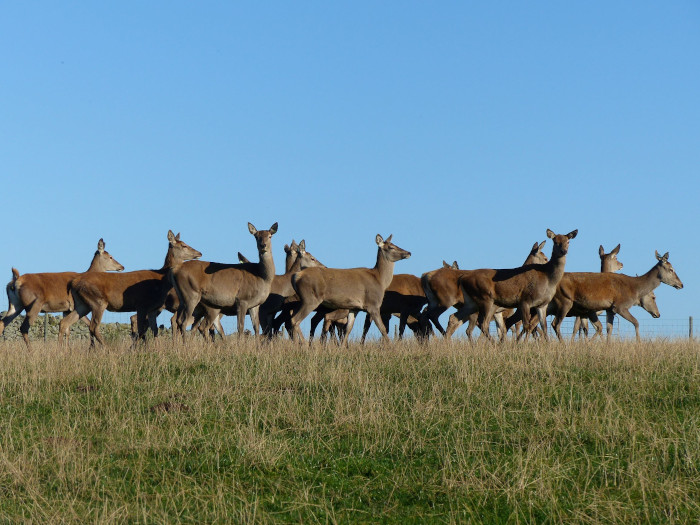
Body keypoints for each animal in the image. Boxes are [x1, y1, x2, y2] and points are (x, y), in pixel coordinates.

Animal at [58, 229, 201, 344]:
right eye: (184, 245)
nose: (199, 253)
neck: (161, 281)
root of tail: (73, 283)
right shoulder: (142, 304)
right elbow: (141, 330)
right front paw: (133, 349)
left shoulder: (153, 308)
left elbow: (154, 330)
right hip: (97, 301)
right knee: (93, 327)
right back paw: (107, 349)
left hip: (82, 304)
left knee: (65, 322)